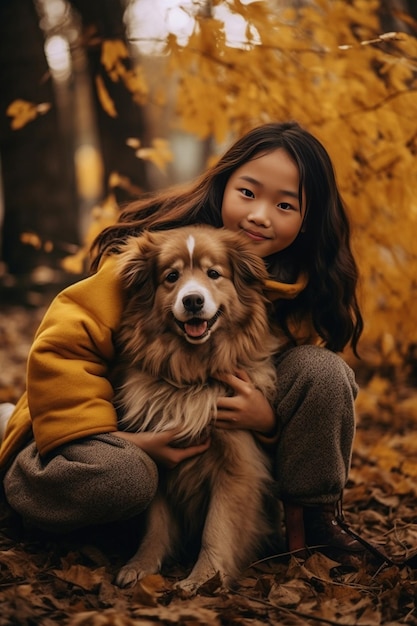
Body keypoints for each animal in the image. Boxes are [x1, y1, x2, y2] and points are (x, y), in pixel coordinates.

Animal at [112, 225, 278, 596]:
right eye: (171, 277)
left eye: (213, 274)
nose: (192, 300)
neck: (192, 376)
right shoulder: (161, 458)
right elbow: (156, 525)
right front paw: (141, 566)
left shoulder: (238, 465)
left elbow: (218, 527)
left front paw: (204, 578)